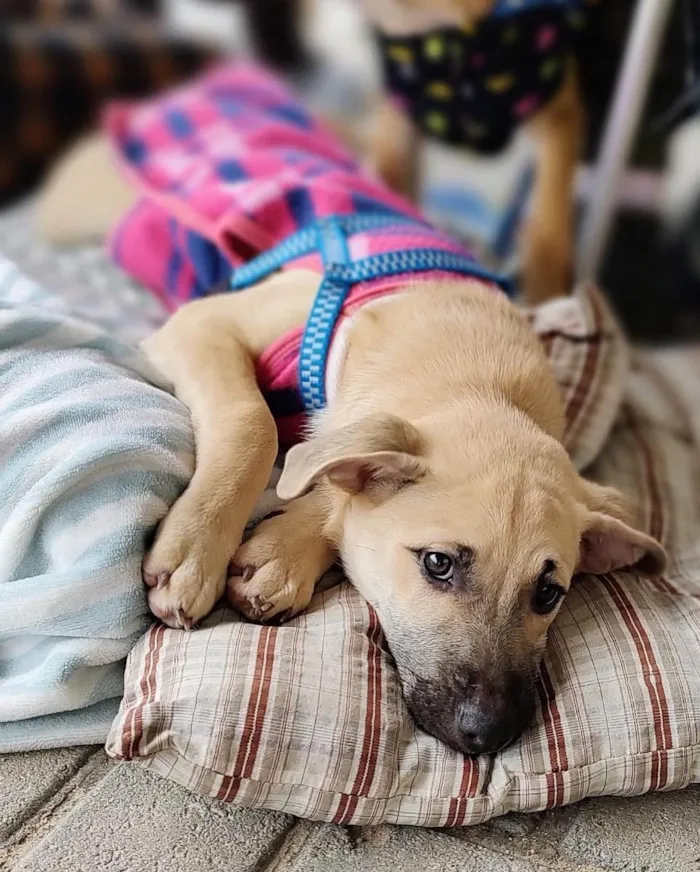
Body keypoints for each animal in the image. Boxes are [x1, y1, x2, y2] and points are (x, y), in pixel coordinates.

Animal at [144, 272, 668, 756]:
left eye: (548, 593)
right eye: (438, 563)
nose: (488, 735)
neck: (475, 376)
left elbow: (336, 486)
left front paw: (283, 555)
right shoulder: (204, 323)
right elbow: (256, 423)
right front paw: (196, 550)